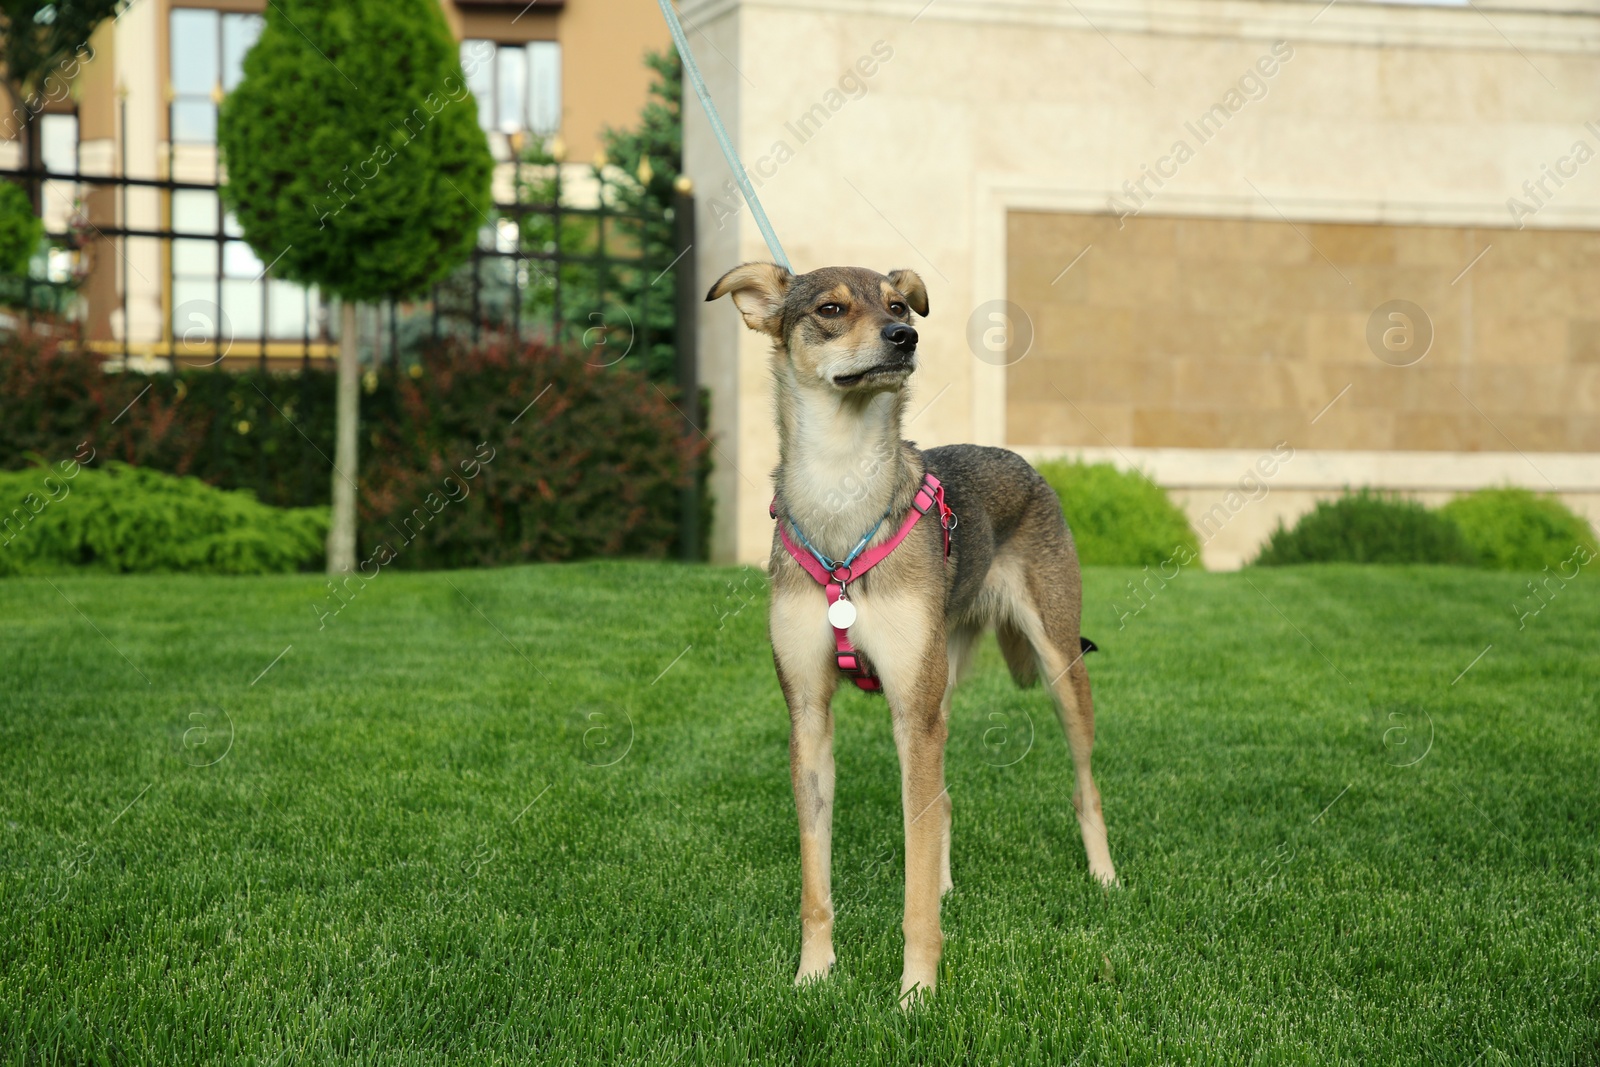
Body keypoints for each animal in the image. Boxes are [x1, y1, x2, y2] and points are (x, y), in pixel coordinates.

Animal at [707, 259, 1120, 1004]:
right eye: (832, 308)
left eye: (900, 304)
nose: (905, 338)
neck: (842, 488)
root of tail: (1024, 462)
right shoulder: (809, 716)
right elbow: (818, 882)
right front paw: (815, 975)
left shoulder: (910, 716)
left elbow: (914, 885)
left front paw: (916, 995)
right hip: (942, 689)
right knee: (946, 801)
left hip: (1057, 665)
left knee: (1084, 784)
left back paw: (1104, 877)